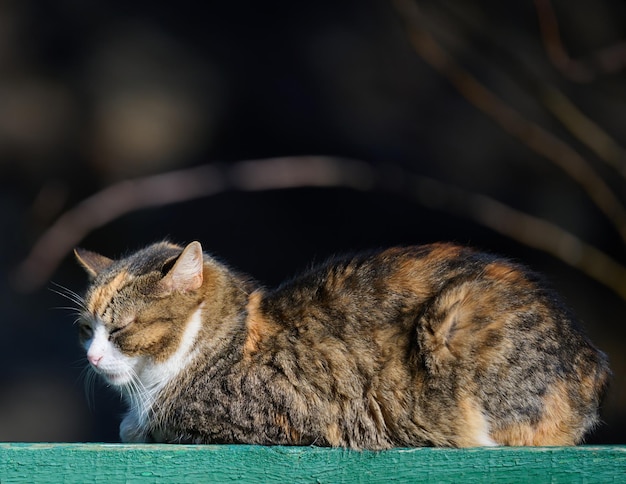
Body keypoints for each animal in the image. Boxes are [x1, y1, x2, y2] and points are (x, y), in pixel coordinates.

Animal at [72, 240, 604, 448]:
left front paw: (135, 425)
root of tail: (591, 359)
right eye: (85, 329)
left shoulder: (272, 416)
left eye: (118, 329)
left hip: (458, 315)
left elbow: (148, 426)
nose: (93, 357)